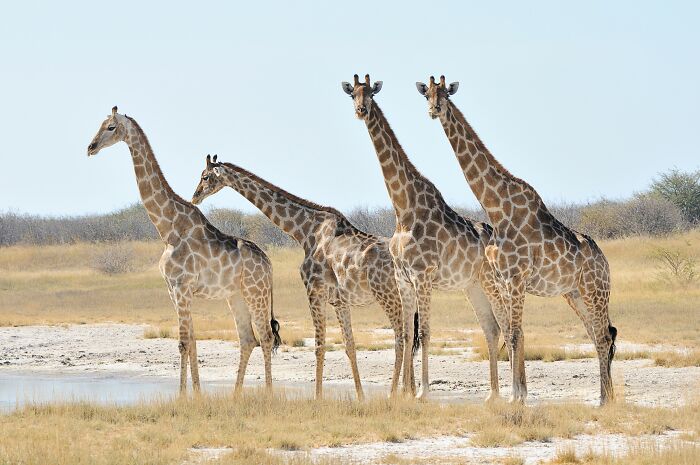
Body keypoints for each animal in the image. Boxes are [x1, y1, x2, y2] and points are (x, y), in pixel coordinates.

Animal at [87, 107, 281, 394]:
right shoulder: (174, 290)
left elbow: (182, 343)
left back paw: (268, 394)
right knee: (248, 339)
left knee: (266, 337)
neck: (167, 228)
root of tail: (269, 264)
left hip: (256, 294)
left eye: (111, 127)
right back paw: (235, 396)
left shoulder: (182, 287)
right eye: (99, 124)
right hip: (235, 296)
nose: (91, 147)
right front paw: (197, 395)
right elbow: (192, 341)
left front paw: (181, 397)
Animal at [191, 154, 416, 399]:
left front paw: (317, 397)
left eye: (205, 176)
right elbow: (350, 346)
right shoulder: (339, 301)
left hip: (387, 295)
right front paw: (360, 397)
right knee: (410, 336)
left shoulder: (314, 291)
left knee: (400, 338)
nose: (195, 196)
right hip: (404, 296)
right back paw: (410, 393)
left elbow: (319, 346)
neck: (305, 231)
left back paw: (394, 394)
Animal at [342, 74, 509, 401]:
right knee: (492, 328)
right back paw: (492, 395)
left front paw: (422, 393)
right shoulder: (403, 277)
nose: (361, 111)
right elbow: (408, 334)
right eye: (352, 94)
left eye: (371, 94)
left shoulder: (423, 274)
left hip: (491, 281)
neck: (403, 208)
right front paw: (400, 394)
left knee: (507, 326)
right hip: (472, 286)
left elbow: (425, 333)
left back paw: (511, 395)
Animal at [417, 76, 617, 404]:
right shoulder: (503, 279)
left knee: (602, 335)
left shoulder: (516, 277)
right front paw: (518, 395)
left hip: (595, 290)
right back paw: (606, 397)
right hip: (574, 294)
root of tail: (605, 263)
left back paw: (604, 400)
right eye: (427, 95)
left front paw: (515, 397)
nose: (434, 111)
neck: (497, 207)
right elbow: (515, 333)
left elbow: (513, 334)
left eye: (445, 95)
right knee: (598, 334)